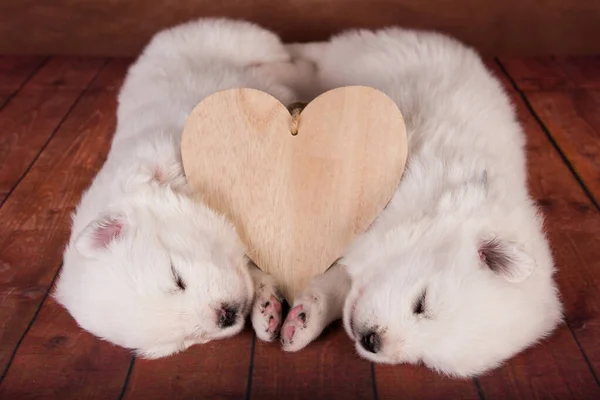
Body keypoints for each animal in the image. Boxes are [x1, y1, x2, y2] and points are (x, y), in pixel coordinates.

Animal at [54, 18, 310, 356]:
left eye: (176, 279)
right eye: (185, 341)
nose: (225, 316)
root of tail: (168, 32)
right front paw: (265, 311)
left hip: (239, 38)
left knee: (282, 59)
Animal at [278, 29, 564, 376]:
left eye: (426, 360)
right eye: (422, 303)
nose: (372, 342)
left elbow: (336, 283)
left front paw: (303, 321)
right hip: (358, 52)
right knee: (313, 57)